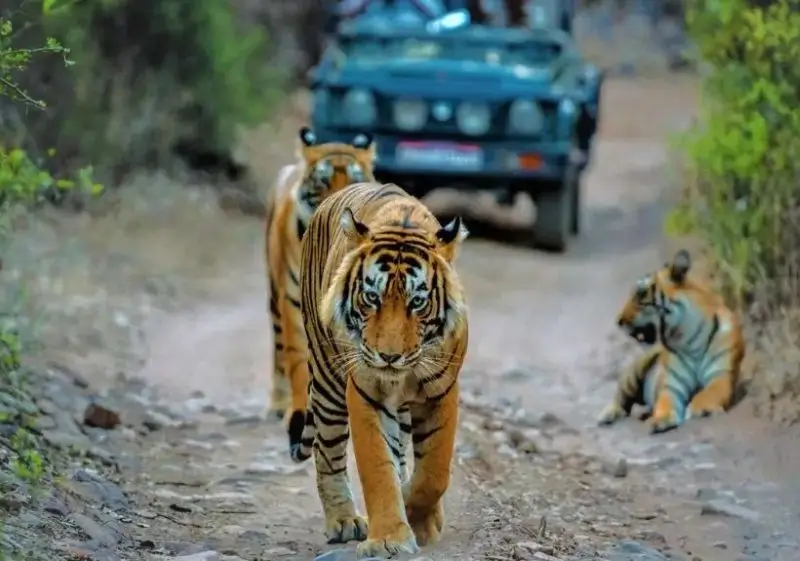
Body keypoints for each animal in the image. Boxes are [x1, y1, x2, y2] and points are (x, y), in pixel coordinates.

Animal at [265, 126, 376, 424]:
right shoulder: (293, 300)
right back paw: (278, 404)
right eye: (323, 182)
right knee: (279, 350)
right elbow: (296, 358)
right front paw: (298, 410)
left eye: (355, 181)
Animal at [292, 181, 469, 558]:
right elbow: (377, 468)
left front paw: (420, 516)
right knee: (327, 452)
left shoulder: (444, 390)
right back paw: (344, 521)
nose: (388, 357)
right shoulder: (365, 391)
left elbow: (435, 471)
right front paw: (390, 537)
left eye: (417, 302)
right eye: (372, 298)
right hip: (327, 380)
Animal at [597, 249, 745, 434]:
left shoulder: (721, 375)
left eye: (640, 293)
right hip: (633, 373)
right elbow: (665, 401)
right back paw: (607, 415)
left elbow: (708, 393)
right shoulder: (671, 384)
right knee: (621, 398)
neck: (689, 338)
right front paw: (660, 419)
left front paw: (700, 409)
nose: (618, 321)